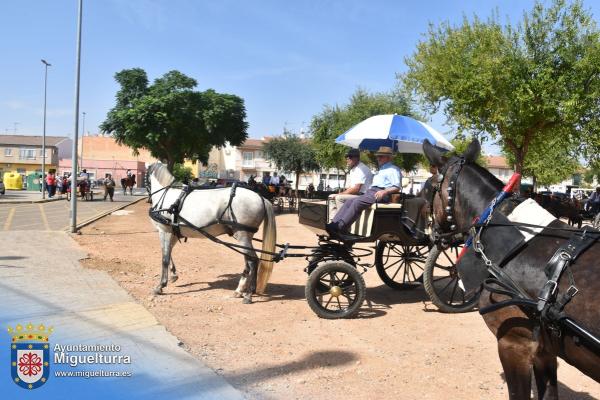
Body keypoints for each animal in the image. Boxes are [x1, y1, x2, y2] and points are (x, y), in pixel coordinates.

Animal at [146, 162, 278, 304]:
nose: (147, 199)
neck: (167, 197)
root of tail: (261, 198)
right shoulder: (173, 232)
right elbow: (169, 253)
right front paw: (173, 275)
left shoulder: (164, 231)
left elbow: (164, 258)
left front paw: (160, 285)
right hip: (244, 238)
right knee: (247, 261)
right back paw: (239, 290)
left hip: (243, 236)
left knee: (253, 260)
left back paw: (249, 294)